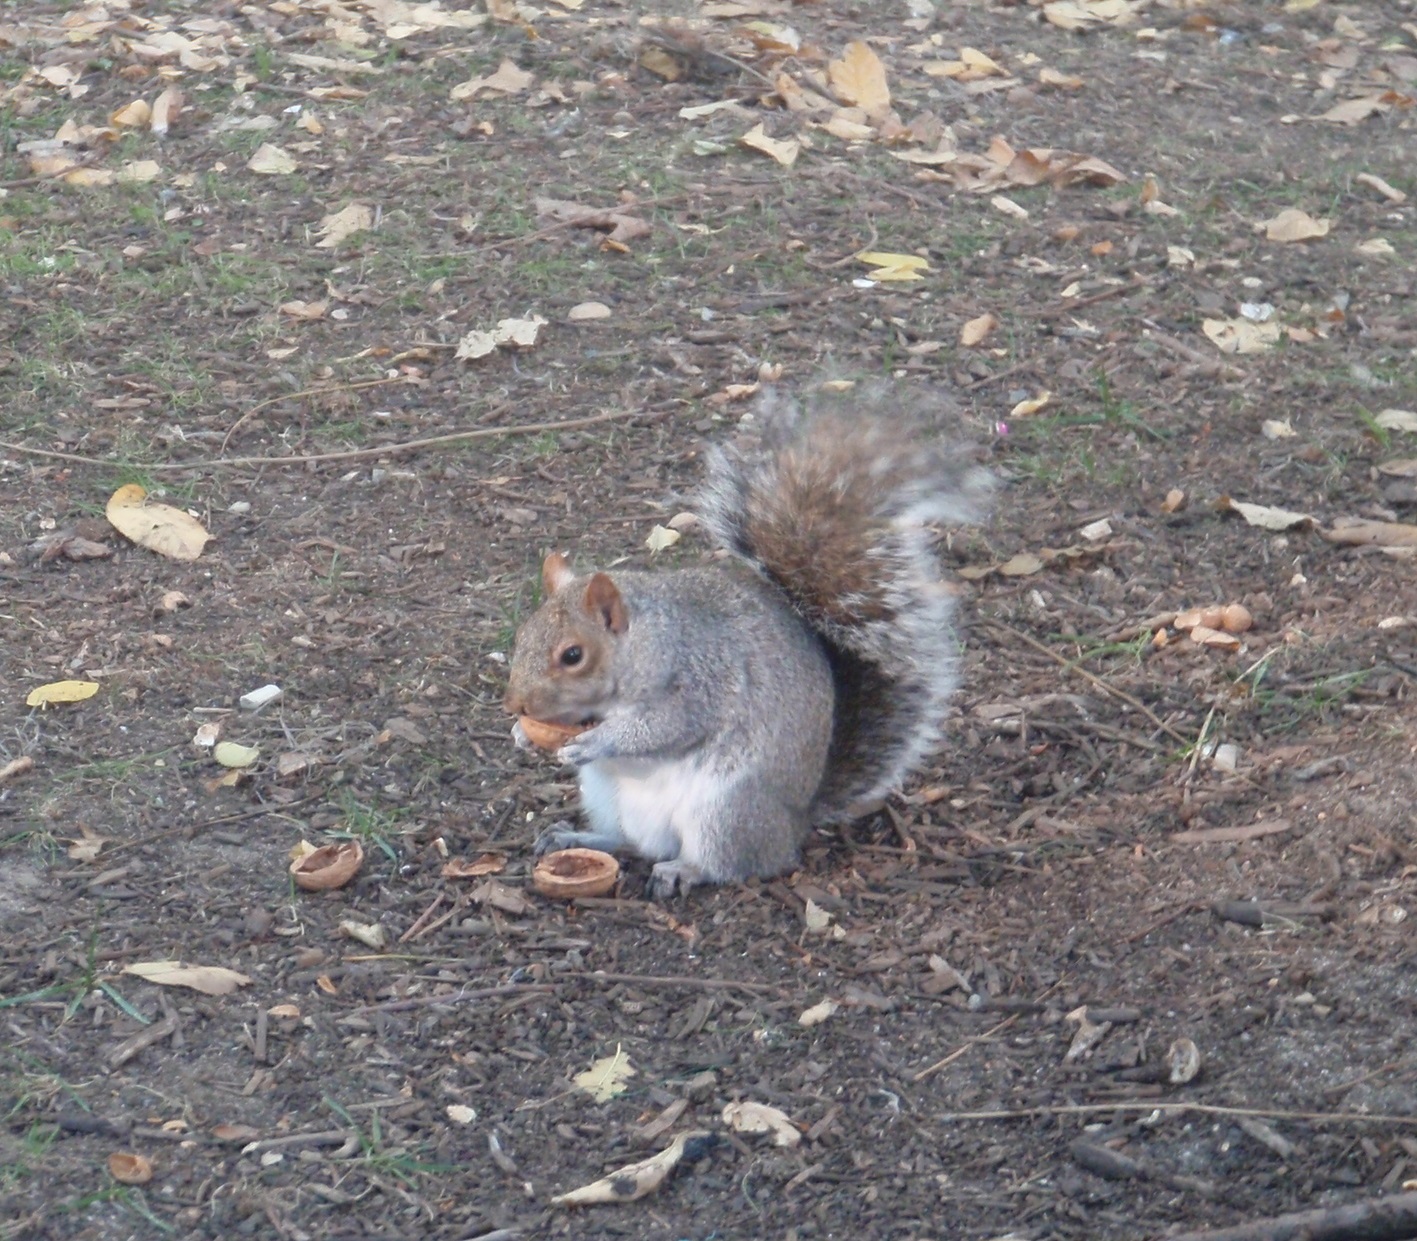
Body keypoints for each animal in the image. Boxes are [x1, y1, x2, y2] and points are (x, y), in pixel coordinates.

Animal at [504, 382, 991, 895]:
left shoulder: (701, 680)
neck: (648, 643)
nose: (514, 704)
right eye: (522, 634)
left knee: (734, 862)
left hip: (726, 809)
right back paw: (577, 837)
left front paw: (596, 742)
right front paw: (522, 734)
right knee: (630, 842)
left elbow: (666, 726)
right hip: (604, 795)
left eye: (573, 655)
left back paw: (684, 868)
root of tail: (794, 823)